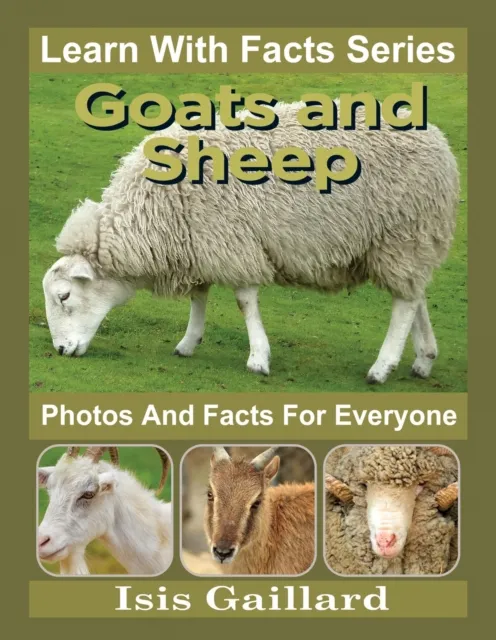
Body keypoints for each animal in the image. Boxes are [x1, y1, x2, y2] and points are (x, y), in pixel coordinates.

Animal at [42, 101, 459, 383]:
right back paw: (424, 358)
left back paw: (382, 367)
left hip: (403, 233)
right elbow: (199, 296)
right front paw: (189, 342)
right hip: (409, 242)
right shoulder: (200, 242)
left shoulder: (230, 240)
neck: (153, 214)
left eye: (64, 296)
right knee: (416, 293)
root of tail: (438, 140)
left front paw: (258, 358)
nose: (61, 351)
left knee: (404, 304)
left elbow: (244, 302)